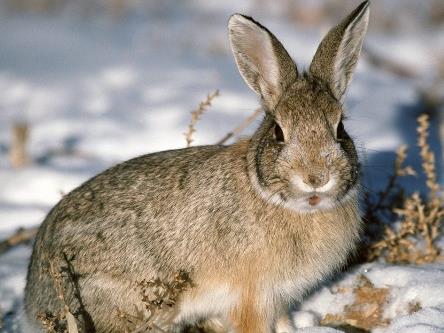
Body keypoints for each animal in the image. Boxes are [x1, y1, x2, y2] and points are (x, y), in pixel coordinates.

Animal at [25, 1, 372, 330]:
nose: (316, 177)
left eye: (340, 129)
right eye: (278, 132)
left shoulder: (279, 298)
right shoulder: (252, 297)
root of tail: (33, 298)